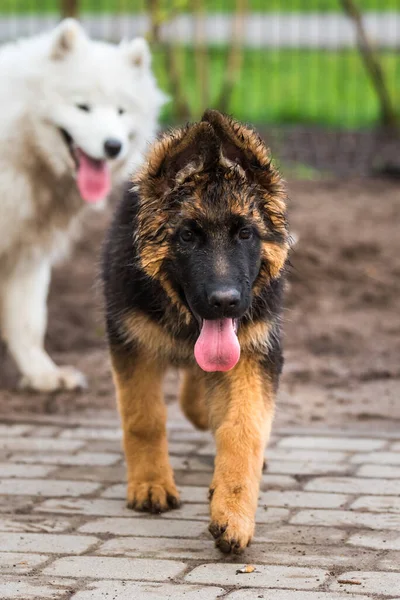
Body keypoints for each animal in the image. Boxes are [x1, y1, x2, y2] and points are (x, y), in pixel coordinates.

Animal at [0, 18, 166, 392]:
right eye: (82, 107)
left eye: (121, 110)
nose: (112, 146)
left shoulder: (28, 254)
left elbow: (29, 323)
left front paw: (43, 375)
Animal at [101, 109, 290, 552]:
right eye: (187, 236)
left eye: (245, 234)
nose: (224, 301)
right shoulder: (132, 343)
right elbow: (144, 418)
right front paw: (150, 484)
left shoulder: (254, 351)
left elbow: (243, 429)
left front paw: (233, 513)